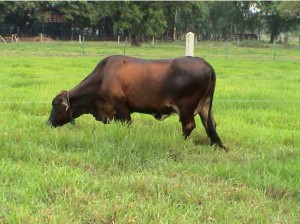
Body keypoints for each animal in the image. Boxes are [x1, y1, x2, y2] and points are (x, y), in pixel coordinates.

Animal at [48, 55, 226, 150]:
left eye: (55, 105)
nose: (48, 122)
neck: (102, 78)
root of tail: (205, 63)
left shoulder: (121, 106)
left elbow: (127, 124)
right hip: (204, 107)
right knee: (211, 125)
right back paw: (216, 145)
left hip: (186, 107)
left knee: (189, 125)